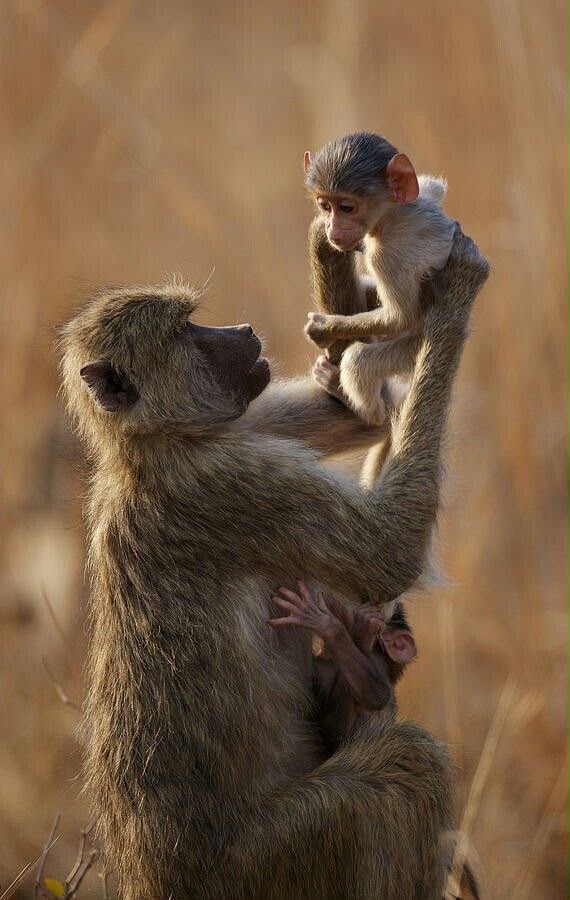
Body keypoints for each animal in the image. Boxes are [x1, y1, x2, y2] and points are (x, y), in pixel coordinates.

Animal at [304, 131, 456, 434]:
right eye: (325, 206)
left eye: (346, 207)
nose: (333, 230)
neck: (394, 213)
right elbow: (434, 187)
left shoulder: (386, 256)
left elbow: (400, 317)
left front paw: (324, 329)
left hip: (411, 350)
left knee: (359, 361)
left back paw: (363, 410)